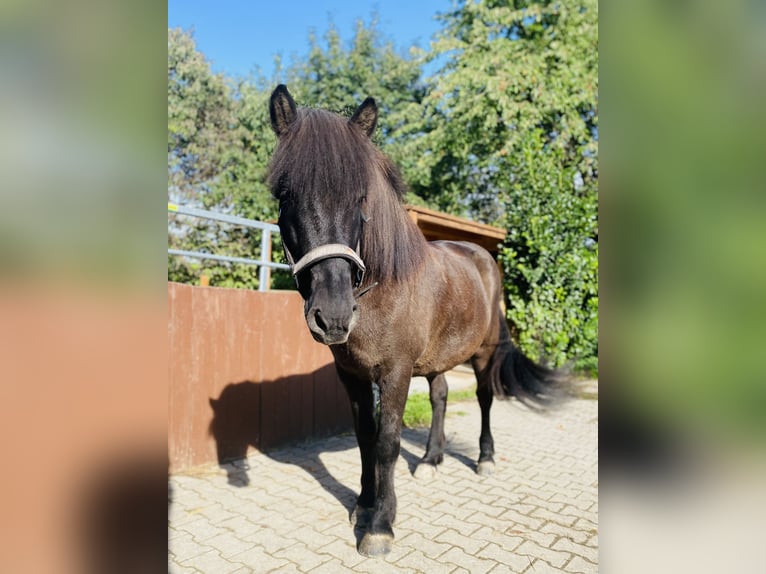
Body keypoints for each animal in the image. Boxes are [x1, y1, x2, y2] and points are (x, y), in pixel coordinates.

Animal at [268, 84, 564, 560]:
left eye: (360, 199)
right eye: (285, 195)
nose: (332, 316)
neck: (380, 290)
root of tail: (482, 256)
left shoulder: (396, 372)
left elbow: (388, 442)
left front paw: (380, 525)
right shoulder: (352, 376)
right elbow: (365, 438)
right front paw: (363, 504)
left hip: (483, 354)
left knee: (483, 399)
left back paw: (484, 458)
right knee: (441, 395)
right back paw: (430, 460)